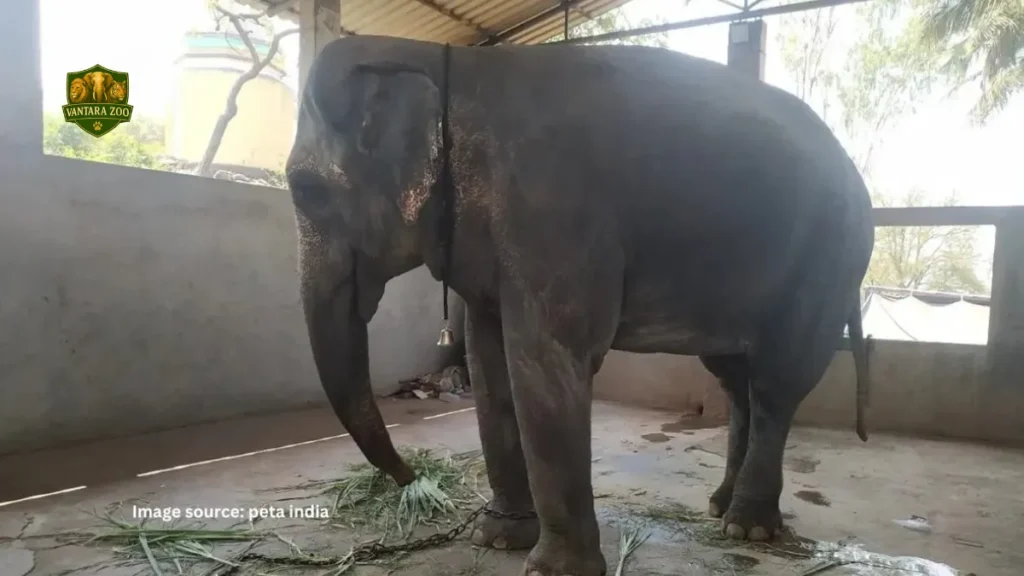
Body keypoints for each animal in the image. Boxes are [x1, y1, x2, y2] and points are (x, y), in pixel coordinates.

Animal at [286, 36, 873, 576]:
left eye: (305, 190)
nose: (414, 479)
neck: (446, 61)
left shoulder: (553, 215)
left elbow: (547, 361)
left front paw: (553, 569)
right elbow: (488, 362)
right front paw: (497, 539)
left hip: (830, 257)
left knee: (777, 382)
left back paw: (747, 528)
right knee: (736, 380)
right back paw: (720, 507)